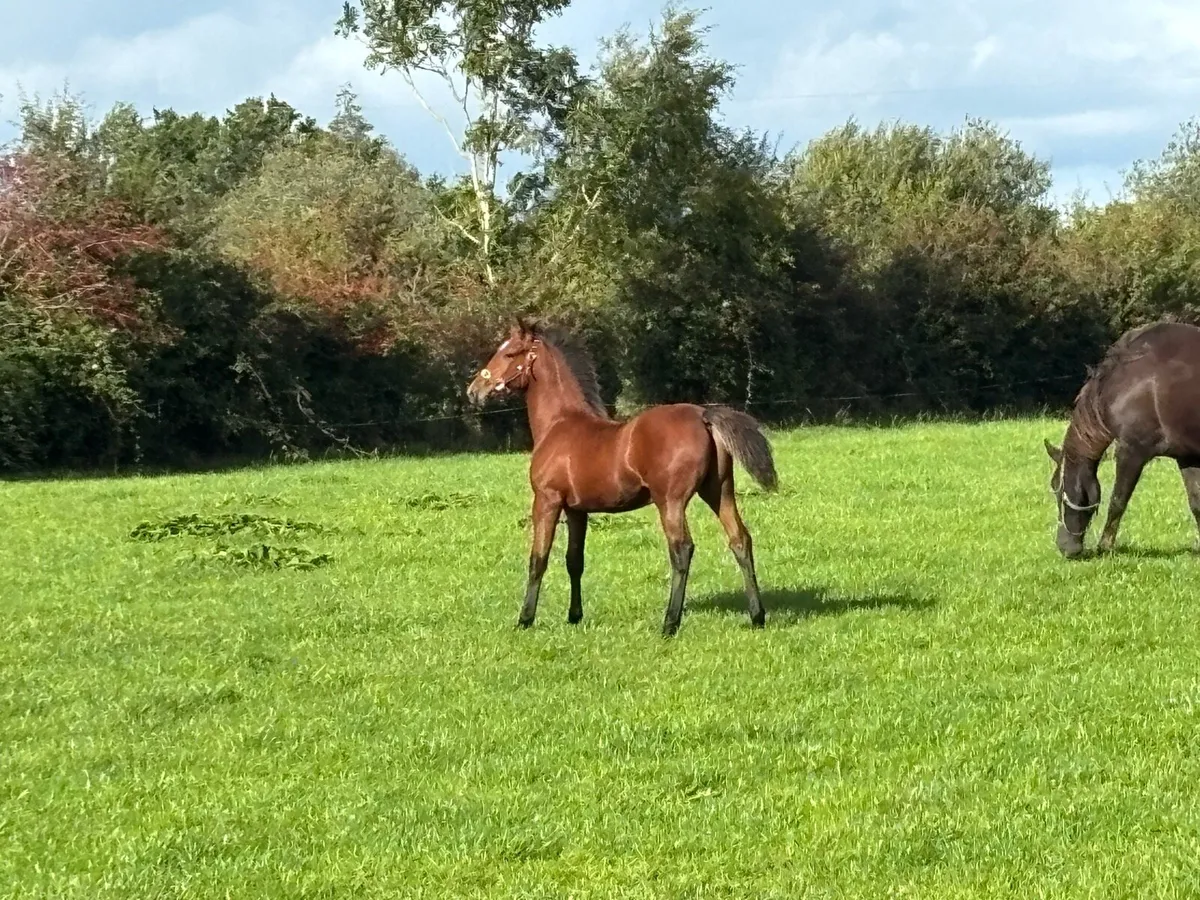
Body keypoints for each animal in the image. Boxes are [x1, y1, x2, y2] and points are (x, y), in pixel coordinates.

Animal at [466, 319, 779, 636]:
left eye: (508, 353)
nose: (474, 390)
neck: (559, 425)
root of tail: (703, 414)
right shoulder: (577, 510)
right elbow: (574, 560)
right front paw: (574, 616)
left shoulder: (547, 500)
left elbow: (538, 559)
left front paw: (525, 619)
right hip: (719, 491)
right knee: (740, 540)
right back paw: (757, 616)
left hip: (670, 501)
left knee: (682, 549)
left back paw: (669, 623)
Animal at [1045, 320, 1200, 558]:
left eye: (1061, 491)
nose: (1065, 548)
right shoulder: (1186, 456)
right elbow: (1196, 502)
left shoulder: (1132, 450)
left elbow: (1117, 501)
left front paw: (1105, 546)